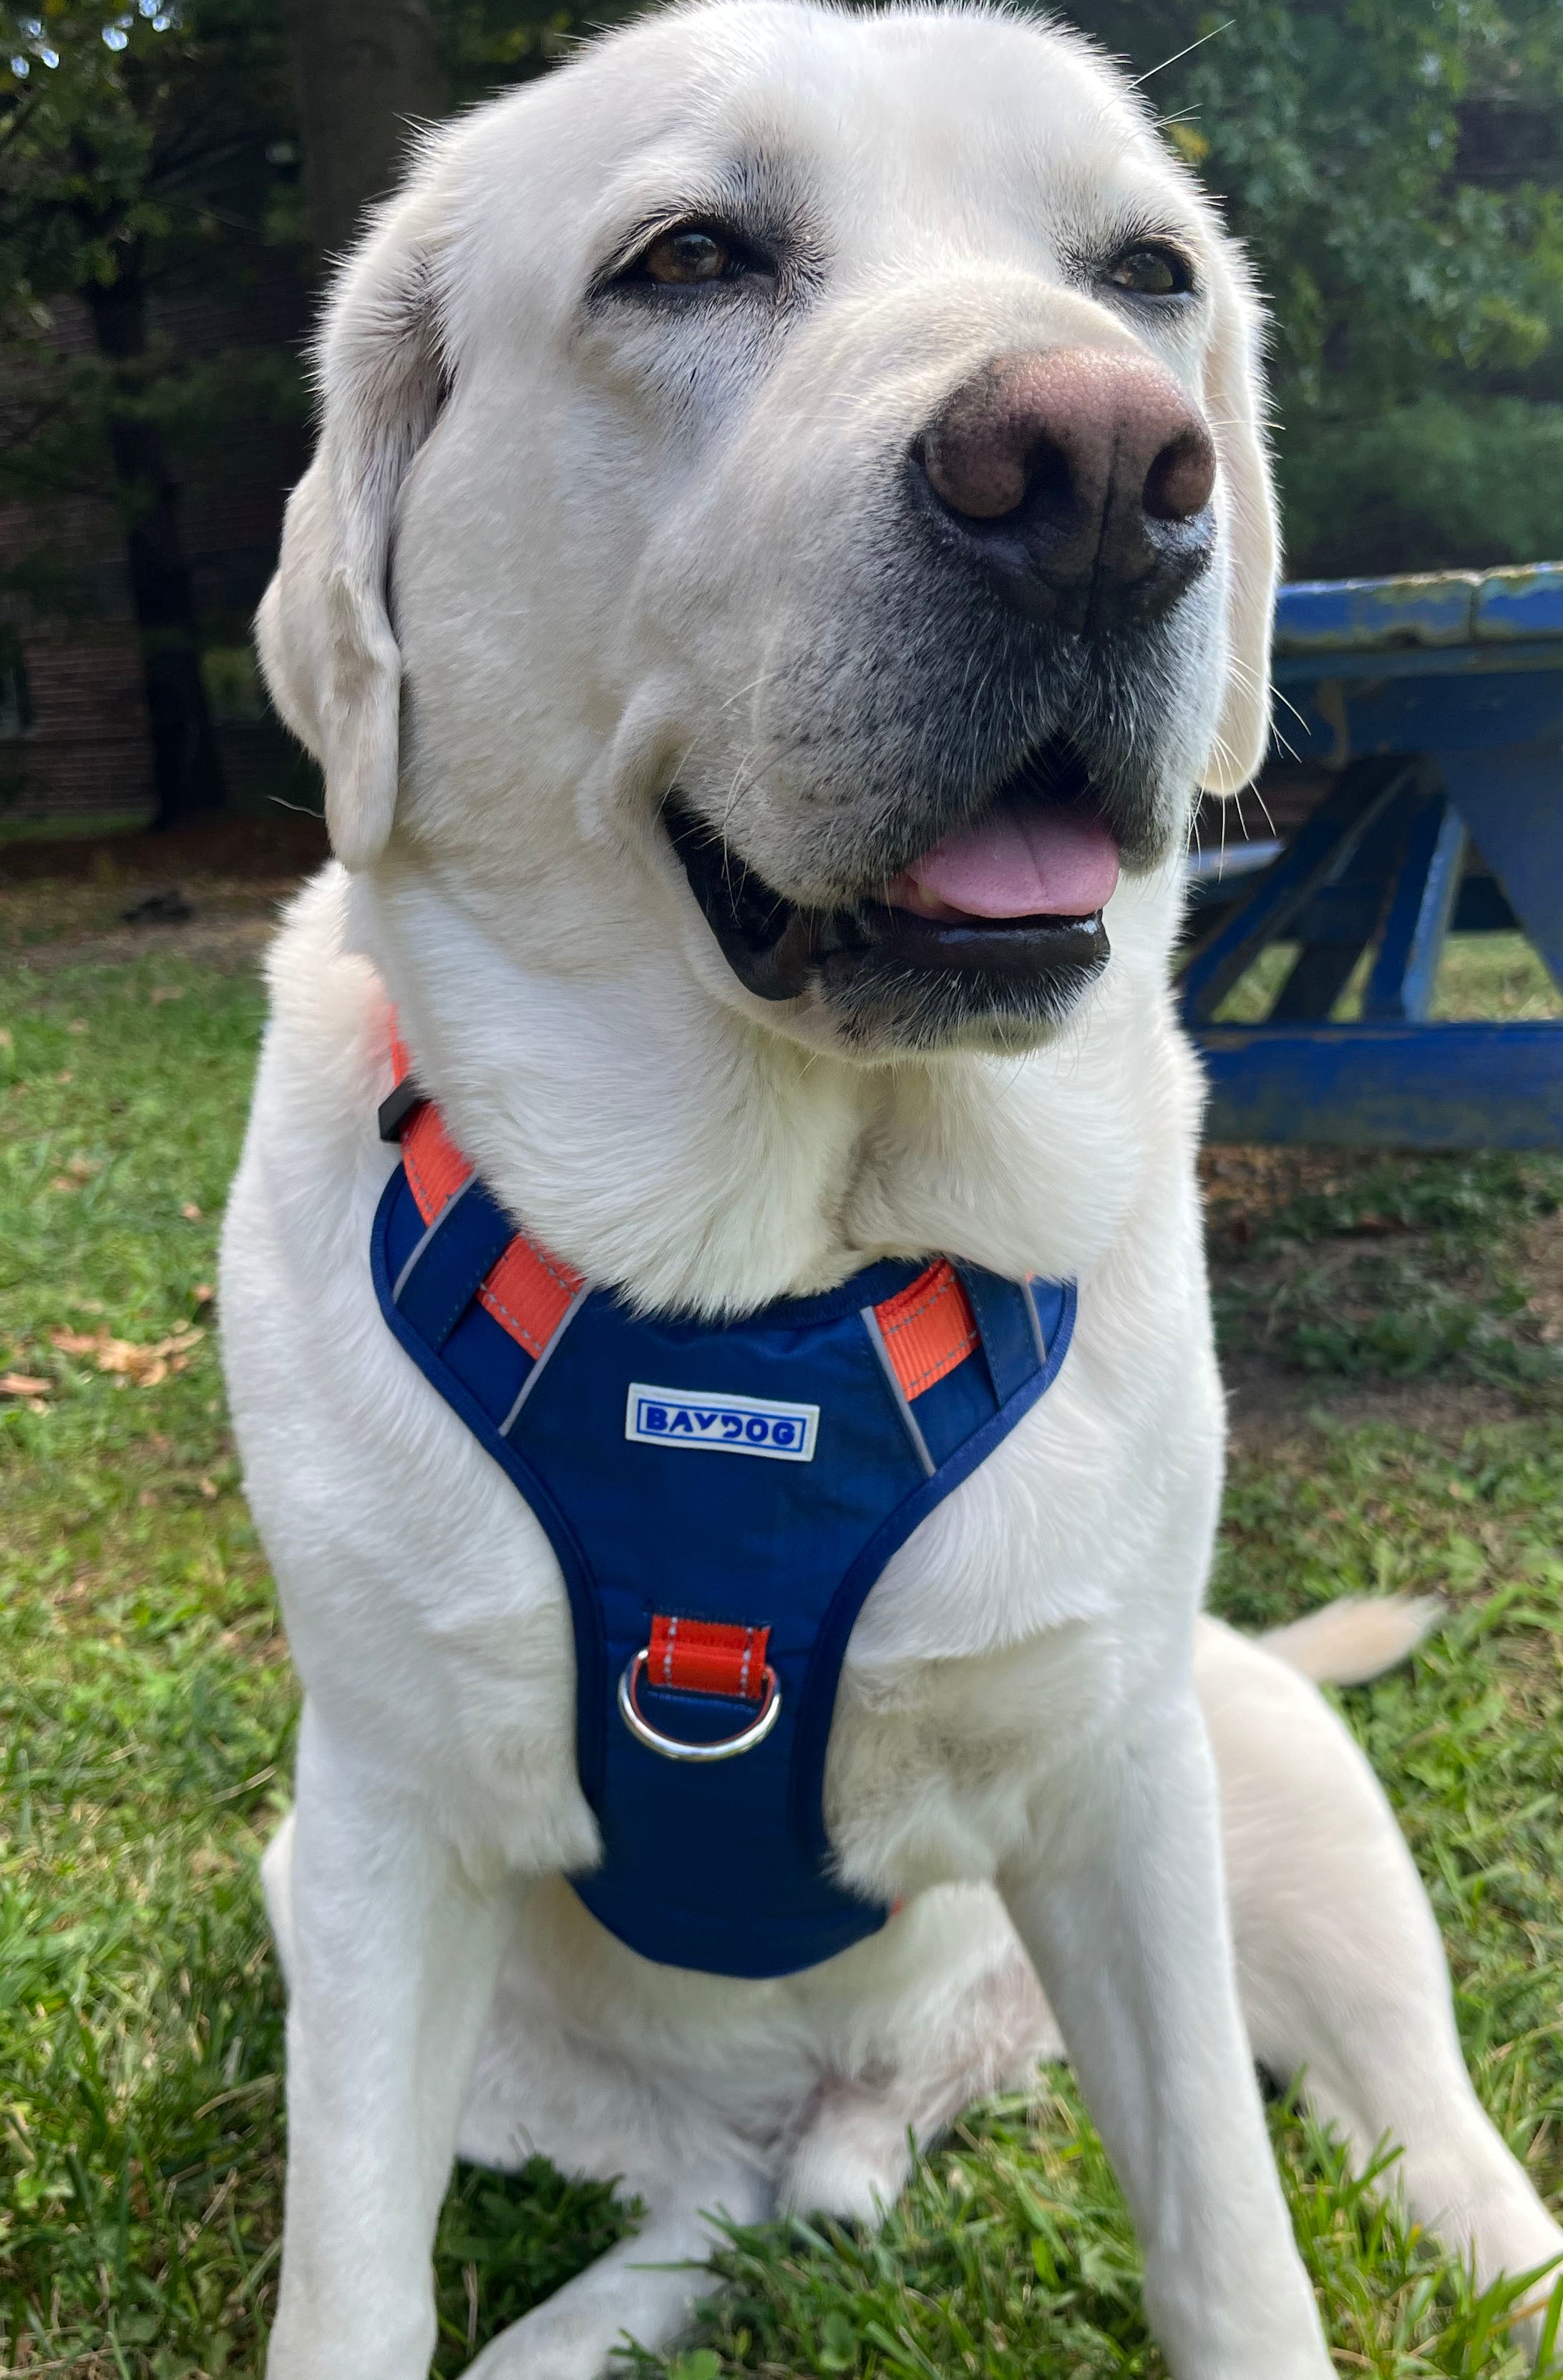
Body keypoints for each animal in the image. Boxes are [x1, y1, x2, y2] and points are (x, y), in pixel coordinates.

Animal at [218, 9, 1560, 2370]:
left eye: (1147, 274)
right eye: (683, 257)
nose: (1104, 476)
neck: (767, 1302)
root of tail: (873, 2094)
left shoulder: (1123, 1793)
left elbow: (1231, 2238)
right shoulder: (380, 1830)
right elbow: (350, 2279)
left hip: (1269, 1753)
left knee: (1428, 2133)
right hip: (336, 1905)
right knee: (719, 2205)